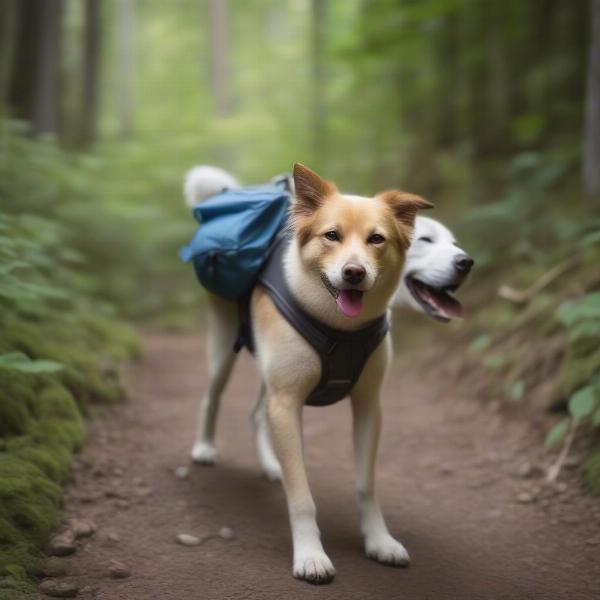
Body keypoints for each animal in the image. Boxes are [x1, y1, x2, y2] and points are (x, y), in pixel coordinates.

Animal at [180, 163, 472, 580]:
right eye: (331, 235)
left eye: (377, 239)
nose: (354, 272)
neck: (340, 324)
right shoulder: (288, 402)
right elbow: (302, 497)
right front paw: (309, 555)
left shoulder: (368, 406)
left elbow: (366, 487)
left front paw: (379, 541)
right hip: (224, 346)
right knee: (212, 396)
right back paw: (205, 448)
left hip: (268, 369)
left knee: (256, 414)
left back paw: (271, 465)